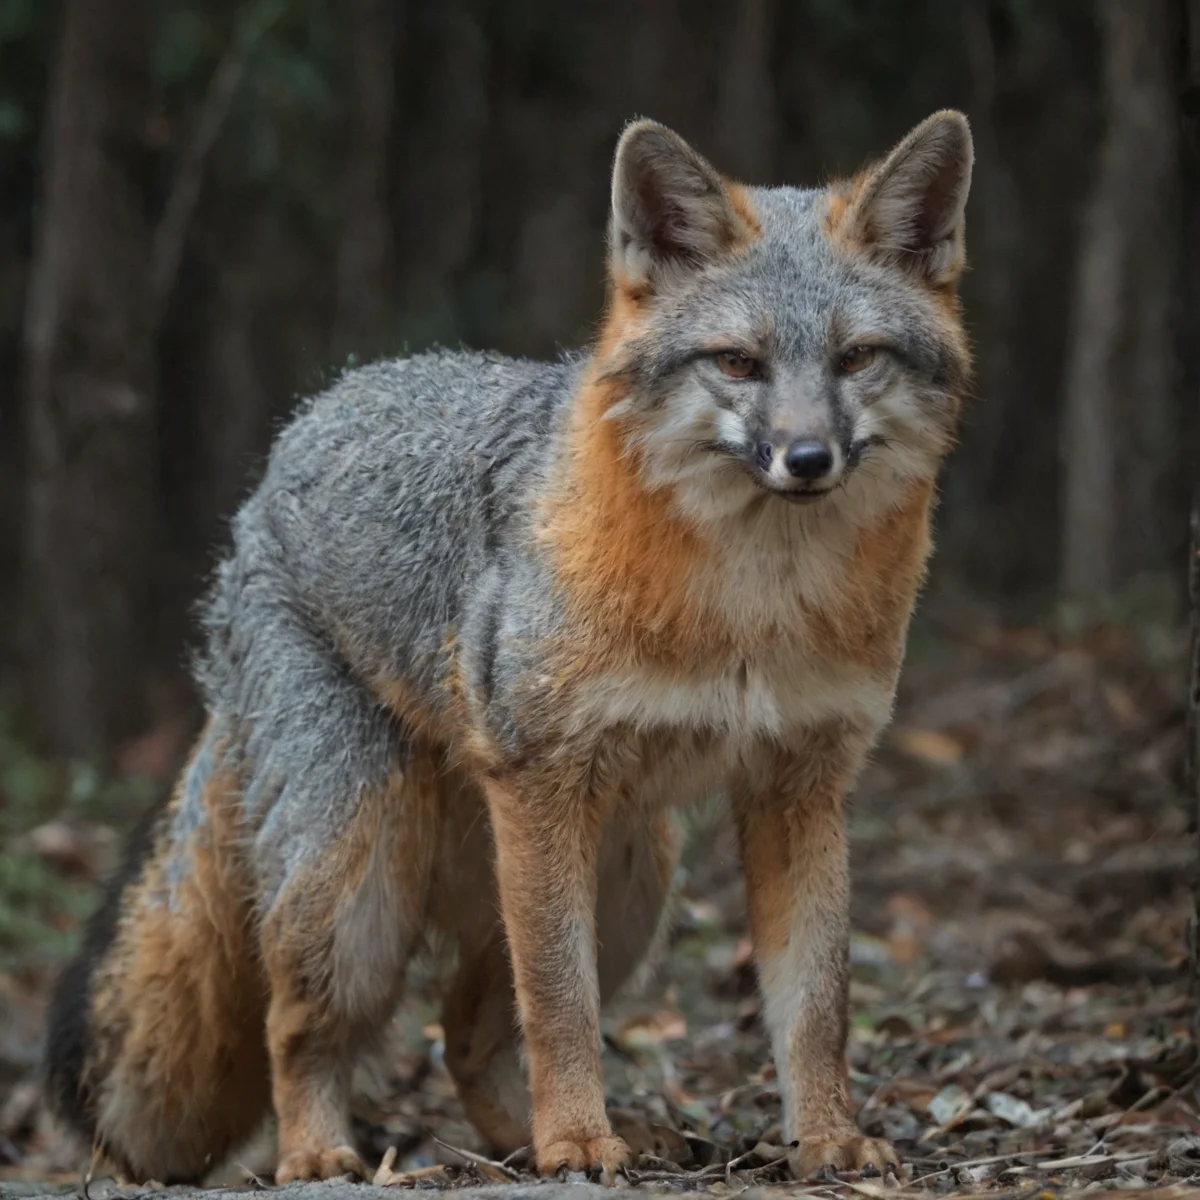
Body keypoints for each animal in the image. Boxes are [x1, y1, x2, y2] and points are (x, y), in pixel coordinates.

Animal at [45, 111, 973, 1186]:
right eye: (738, 364)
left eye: (857, 358)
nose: (806, 458)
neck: (751, 606)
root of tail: (307, 421)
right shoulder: (540, 782)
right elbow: (561, 1006)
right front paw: (577, 1140)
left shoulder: (803, 786)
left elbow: (817, 1005)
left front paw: (826, 1138)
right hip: (362, 885)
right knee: (303, 1024)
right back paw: (327, 1152)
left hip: (628, 874)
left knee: (463, 1030)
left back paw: (538, 1138)